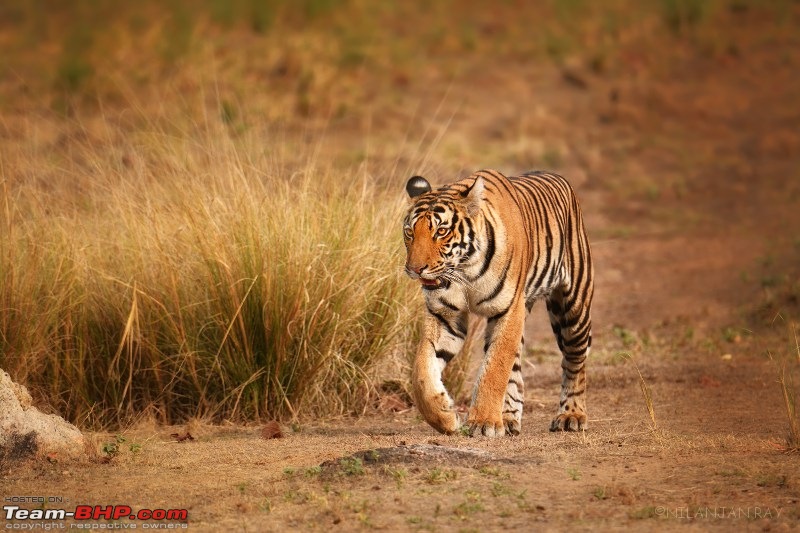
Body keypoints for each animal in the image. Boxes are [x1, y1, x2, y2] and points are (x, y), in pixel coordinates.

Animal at [400, 168, 592, 434]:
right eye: (410, 232)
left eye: (441, 231)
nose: (415, 269)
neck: (464, 271)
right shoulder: (445, 315)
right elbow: (422, 369)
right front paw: (445, 416)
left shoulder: (509, 310)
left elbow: (495, 369)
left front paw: (484, 422)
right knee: (517, 369)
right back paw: (509, 418)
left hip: (573, 307)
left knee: (574, 360)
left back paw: (571, 415)